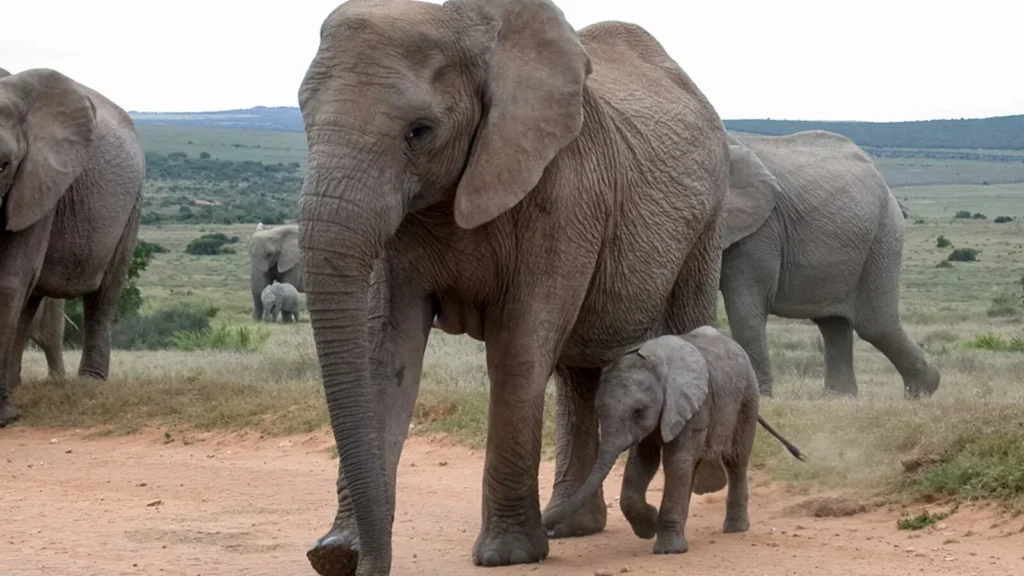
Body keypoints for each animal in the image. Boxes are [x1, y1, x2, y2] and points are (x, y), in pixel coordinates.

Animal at [0, 67, 145, 427]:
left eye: (3, 165)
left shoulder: (39, 184)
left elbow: (9, 281)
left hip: (131, 206)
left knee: (102, 298)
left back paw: (89, 383)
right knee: (31, 300)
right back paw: (16, 388)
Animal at [295, 0, 730, 573]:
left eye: (419, 131)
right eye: (303, 116)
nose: (358, 560)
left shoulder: (566, 192)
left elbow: (519, 350)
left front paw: (508, 555)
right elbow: (385, 354)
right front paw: (336, 551)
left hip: (706, 224)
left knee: (683, 330)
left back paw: (695, 491)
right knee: (578, 367)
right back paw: (573, 526)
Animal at [541, 328, 804, 555]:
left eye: (638, 411)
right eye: (599, 411)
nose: (550, 531)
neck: (655, 362)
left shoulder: (693, 405)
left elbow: (676, 460)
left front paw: (668, 549)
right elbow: (643, 462)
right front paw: (649, 526)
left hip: (747, 398)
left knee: (735, 460)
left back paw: (735, 529)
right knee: (693, 468)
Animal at [719, 130, 940, 397]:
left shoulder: (761, 228)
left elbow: (746, 303)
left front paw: (760, 398)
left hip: (884, 234)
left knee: (875, 325)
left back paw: (924, 390)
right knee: (835, 323)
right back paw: (841, 398)